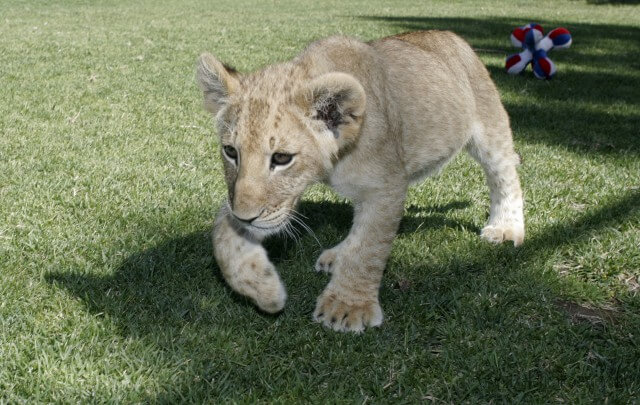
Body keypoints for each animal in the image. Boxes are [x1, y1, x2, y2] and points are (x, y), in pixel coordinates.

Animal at [196, 31, 525, 333]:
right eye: (230, 152)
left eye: (281, 158)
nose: (246, 217)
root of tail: (451, 36)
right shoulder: (252, 196)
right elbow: (223, 236)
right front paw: (264, 290)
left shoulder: (387, 184)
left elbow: (369, 247)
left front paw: (346, 307)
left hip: (491, 128)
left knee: (506, 176)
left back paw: (506, 228)